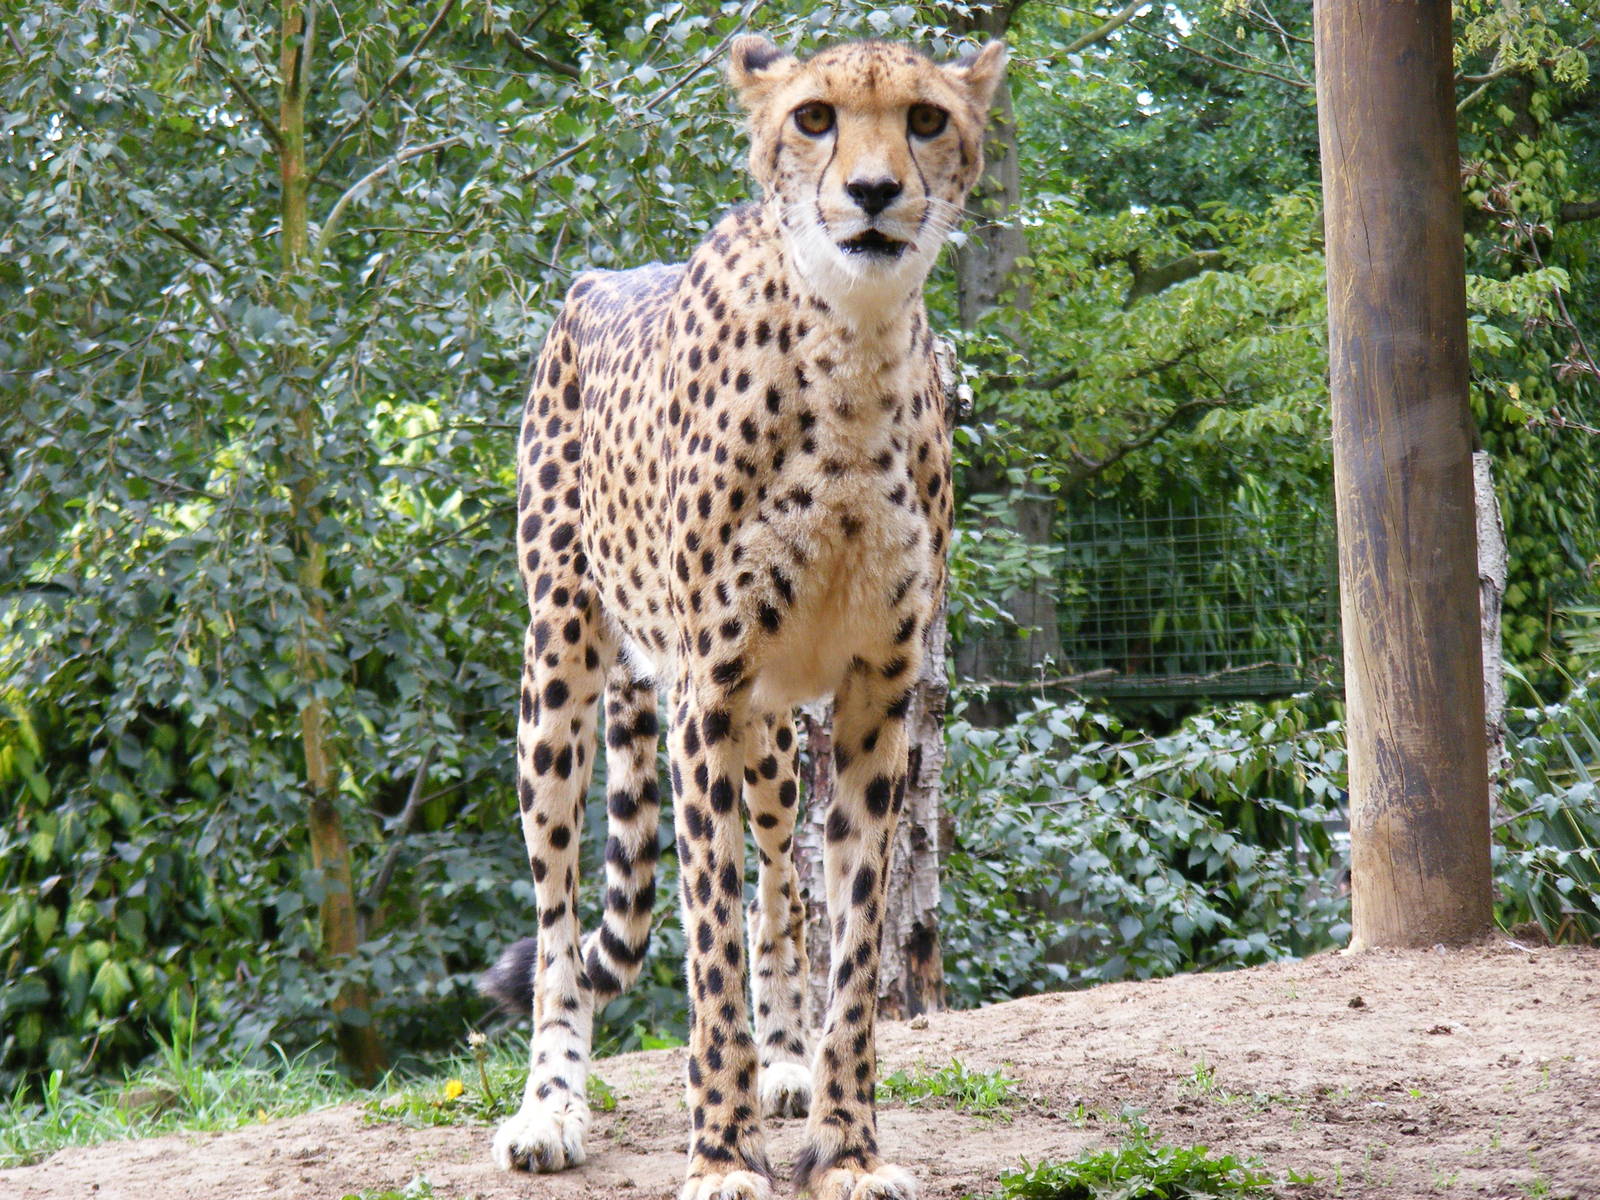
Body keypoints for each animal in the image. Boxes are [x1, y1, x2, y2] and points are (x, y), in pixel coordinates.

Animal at [482, 32, 1006, 1200]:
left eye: (926, 118)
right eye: (813, 117)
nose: (873, 192)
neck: (851, 352)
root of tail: (599, 276)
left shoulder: (873, 697)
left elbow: (850, 936)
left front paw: (847, 1146)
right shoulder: (704, 698)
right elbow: (704, 946)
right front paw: (721, 1156)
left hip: (771, 732)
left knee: (779, 884)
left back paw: (785, 1064)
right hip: (561, 673)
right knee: (559, 919)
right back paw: (551, 1106)